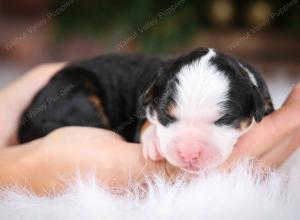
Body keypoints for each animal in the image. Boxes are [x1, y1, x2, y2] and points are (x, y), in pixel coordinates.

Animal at [0, 63, 298, 194]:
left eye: (223, 120)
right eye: (167, 116)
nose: (189, 154)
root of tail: (28, 115)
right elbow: (145, 122)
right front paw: (154, 140)